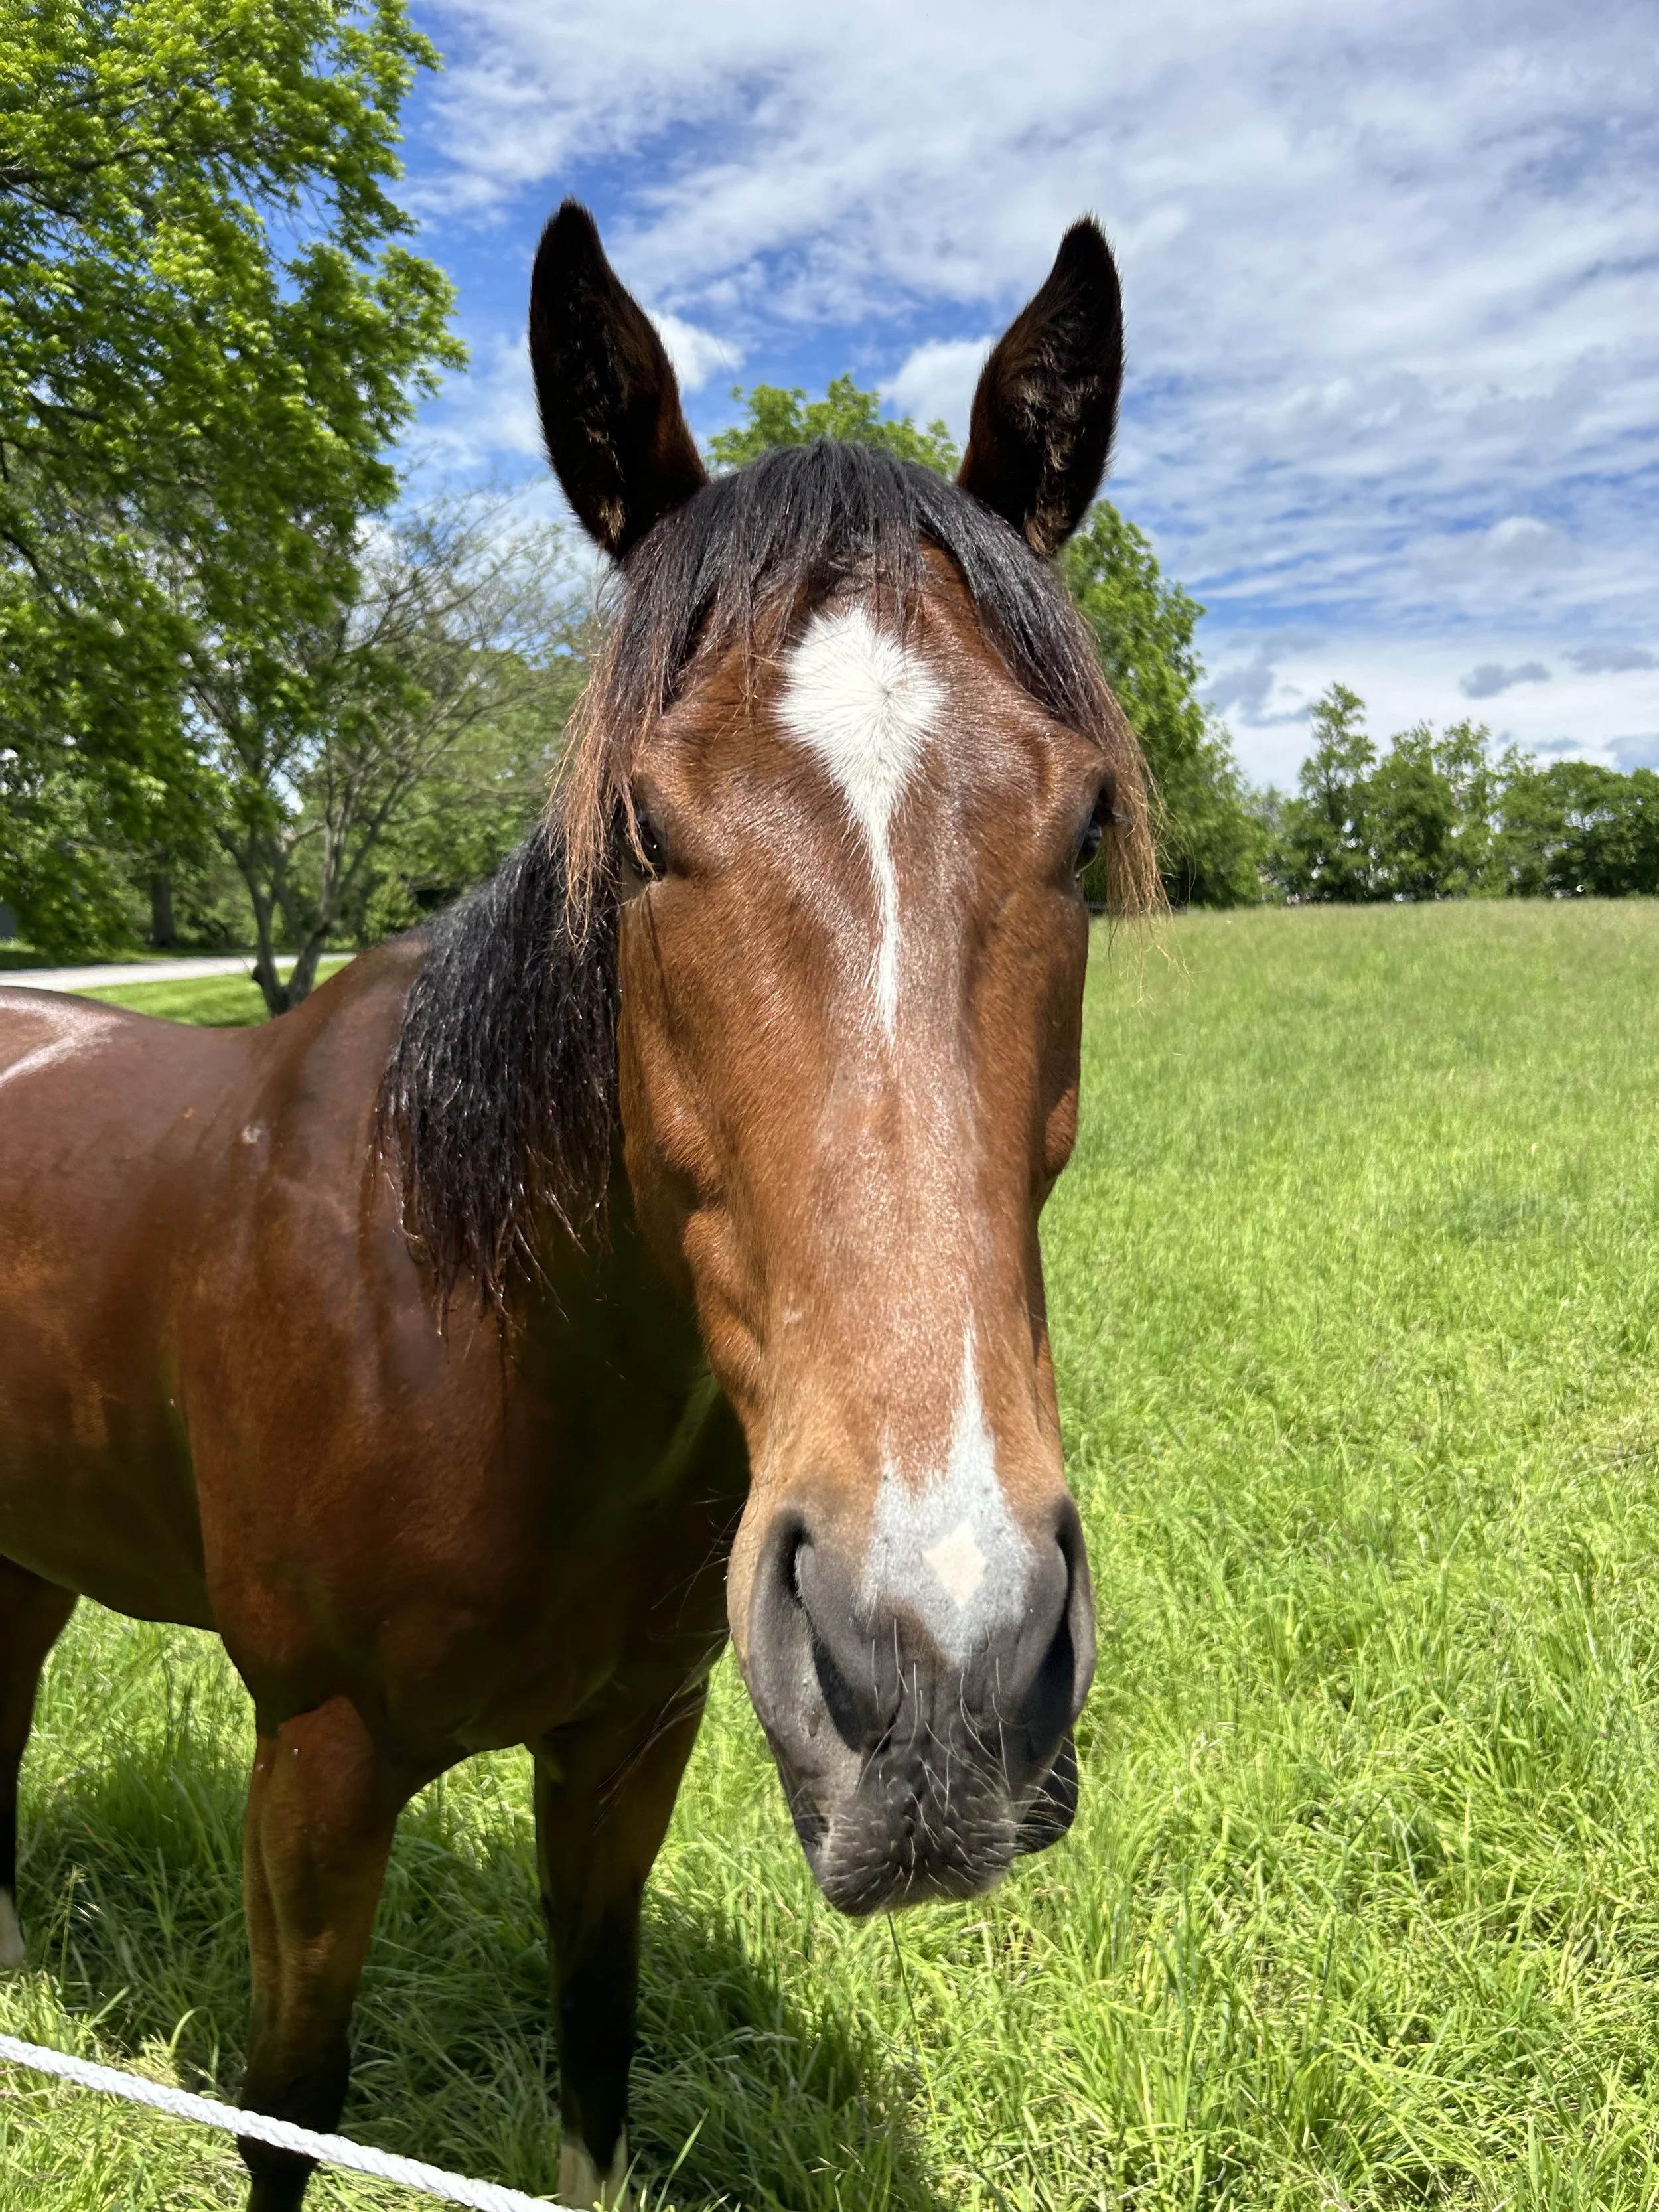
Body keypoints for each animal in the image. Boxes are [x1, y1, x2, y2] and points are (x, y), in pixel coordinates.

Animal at [0, 200, 1156, 2210]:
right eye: (638, 825)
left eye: (1082, 823)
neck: (470, 1331)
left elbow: (595, 2062)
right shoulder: (310, 1766)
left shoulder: (632, 1744)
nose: (944, 1662)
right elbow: (288, 2106)